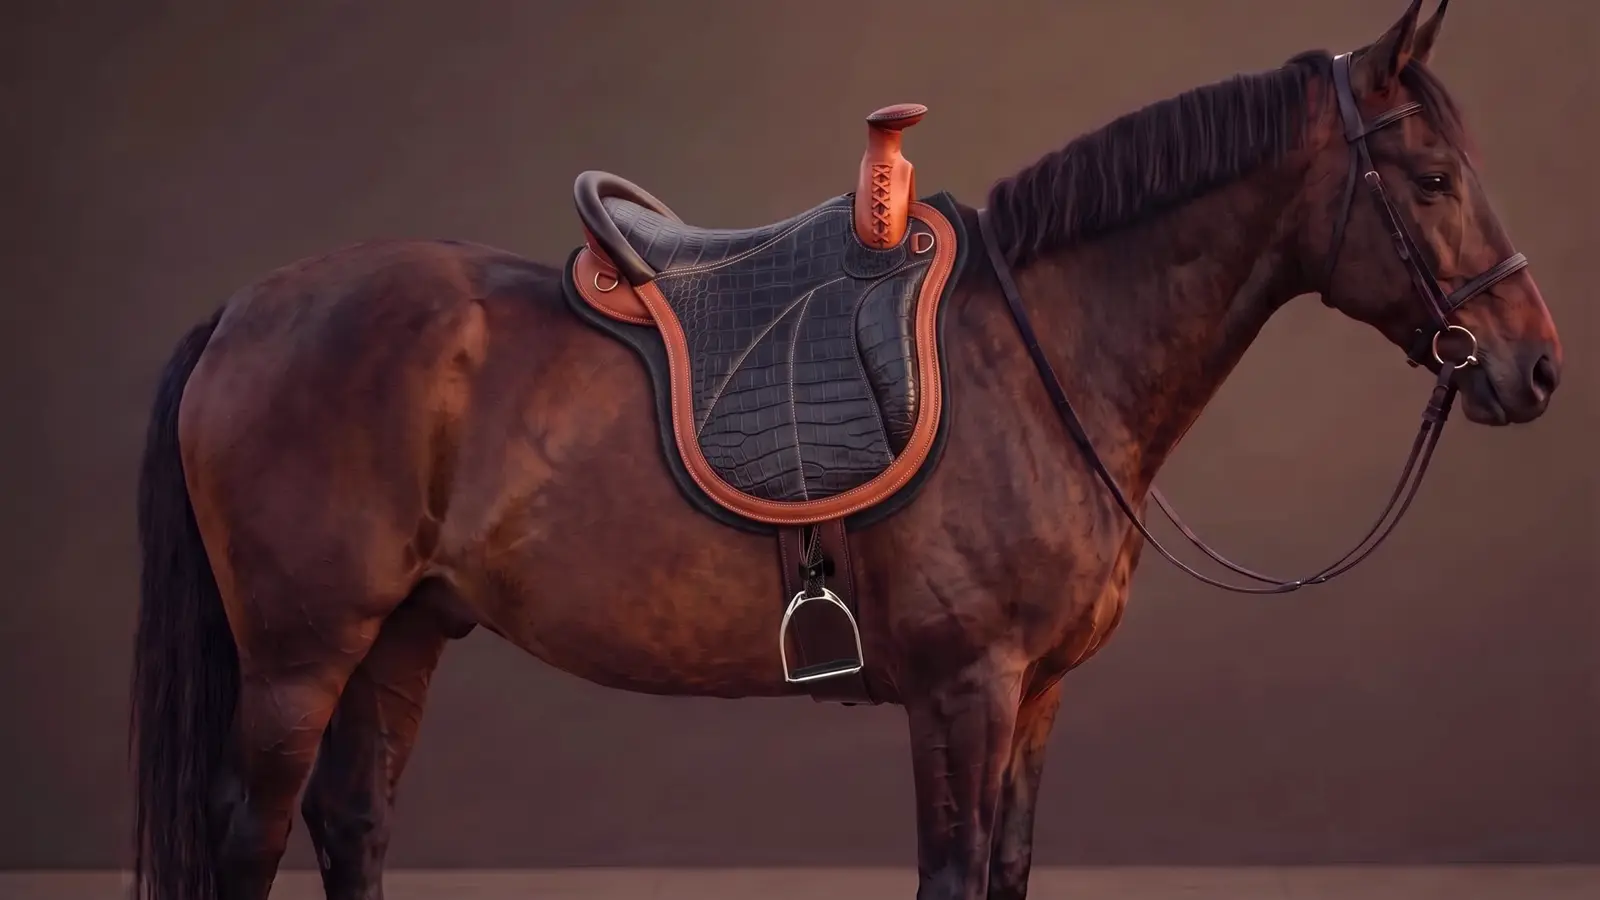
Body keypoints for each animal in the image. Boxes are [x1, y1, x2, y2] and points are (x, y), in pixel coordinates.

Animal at [129, 1, 1562, 898]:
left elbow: (1006, 872)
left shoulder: (1037, 696)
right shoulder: (964, 689)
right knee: (253, 833)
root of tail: (244, 309)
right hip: (301, 652)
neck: (1034, 357)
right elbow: (950, 875)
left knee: (354, 823)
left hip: (402, 635)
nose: (1535, 365)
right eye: (1432, 177)